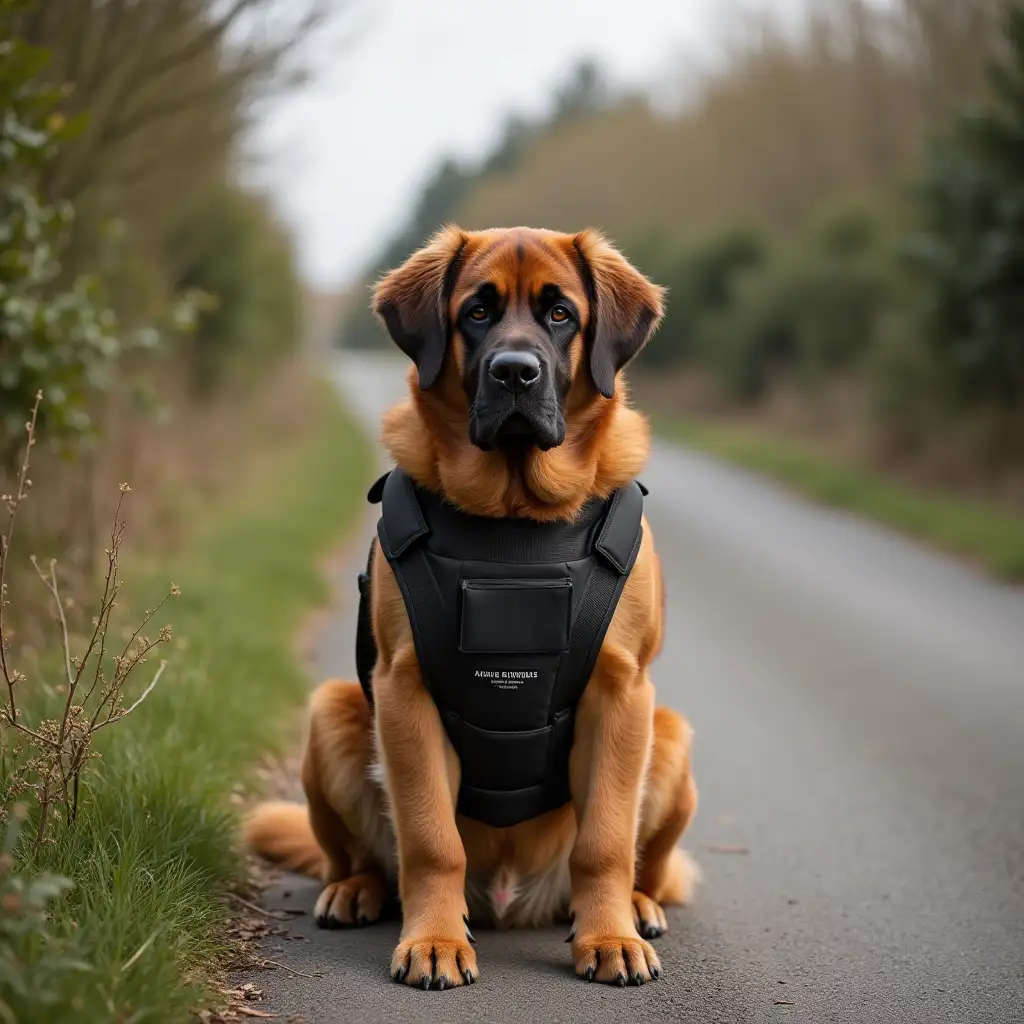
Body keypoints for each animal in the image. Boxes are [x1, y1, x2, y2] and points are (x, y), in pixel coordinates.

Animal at [243, 226, 700, 991]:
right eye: (476, 312)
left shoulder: (622, 692)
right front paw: (433, 940)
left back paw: (636, 907)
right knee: (368, 857)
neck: (513, 518)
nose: (515, 373)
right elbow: (432, 840)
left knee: (648, 866)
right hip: (333, 712)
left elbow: (605, 841)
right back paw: (358, 890)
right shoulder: (403, 691)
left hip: (667, 733)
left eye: (560, 314)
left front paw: (609, 936)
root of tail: (513, 901)